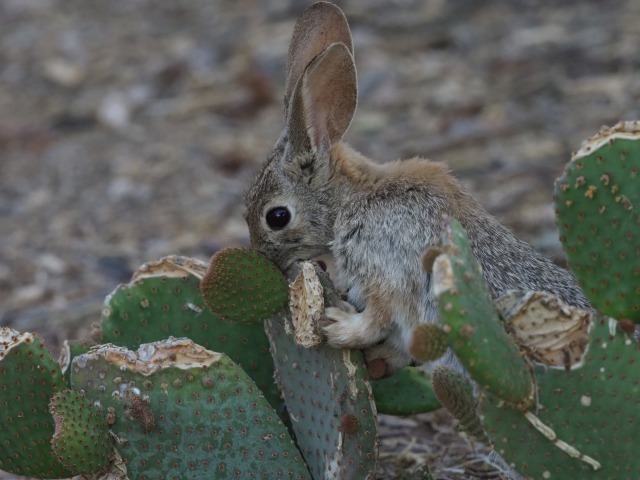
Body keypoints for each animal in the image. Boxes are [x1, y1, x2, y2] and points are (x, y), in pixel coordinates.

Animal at [244, 1, 592, 376]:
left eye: (277, 217)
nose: (265, 260)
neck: (354, 198)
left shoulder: (387, 269)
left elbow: (378, 318)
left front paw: (337, 326)